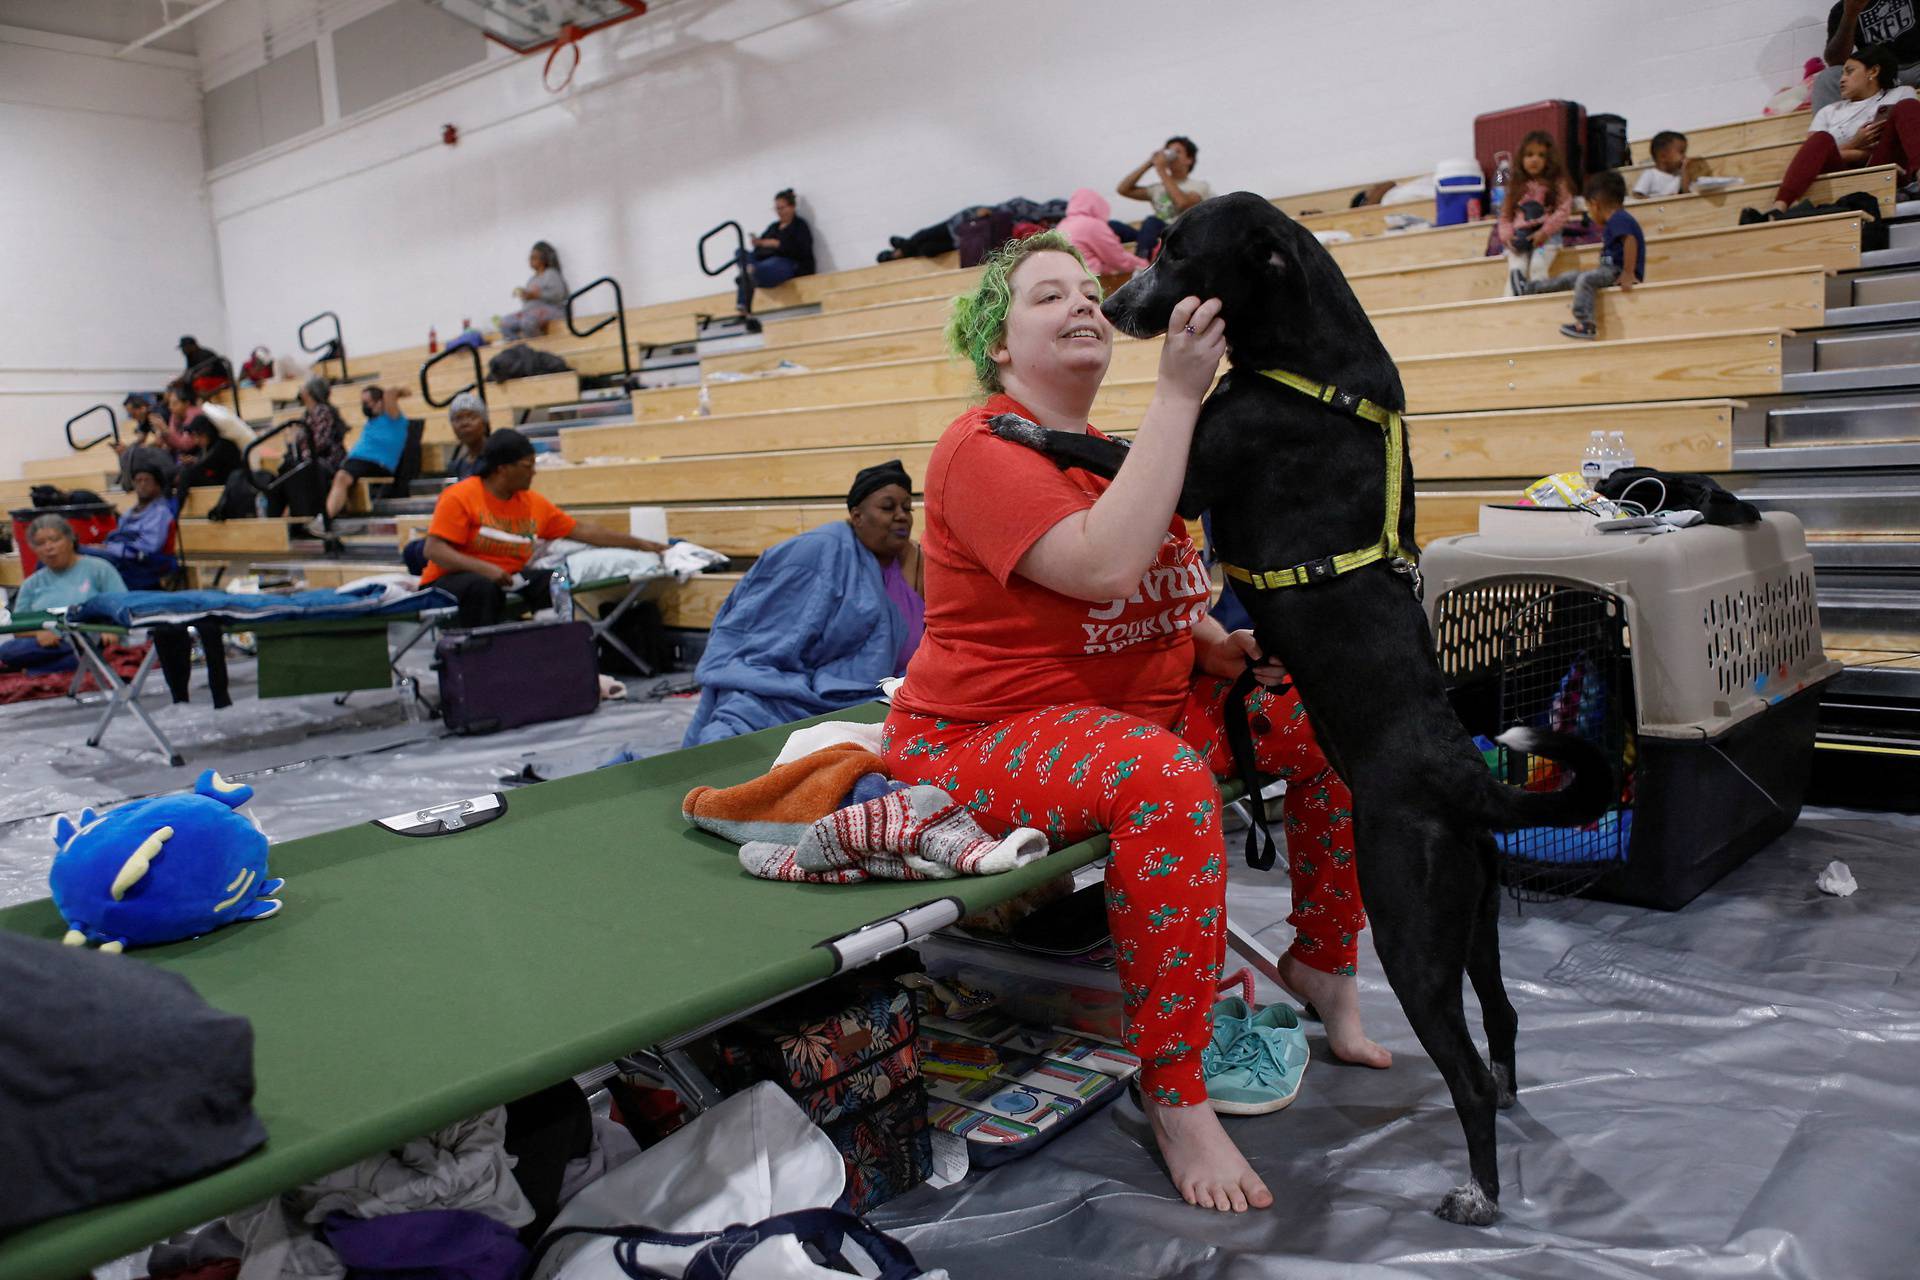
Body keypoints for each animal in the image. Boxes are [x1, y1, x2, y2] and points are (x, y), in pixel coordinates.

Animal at [998, 188, 1612, 1220]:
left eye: (1175, 250)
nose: (1113, 306)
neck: (1311, 360)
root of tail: (1467, 780)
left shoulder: (1191, 474)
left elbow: (1098, 442)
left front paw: (1023, 433)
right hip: (1475, 920)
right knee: (1503, 1014)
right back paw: (1510, 1116)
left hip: (1409, 923)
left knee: (1463, 1068)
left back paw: (1477, 1193)